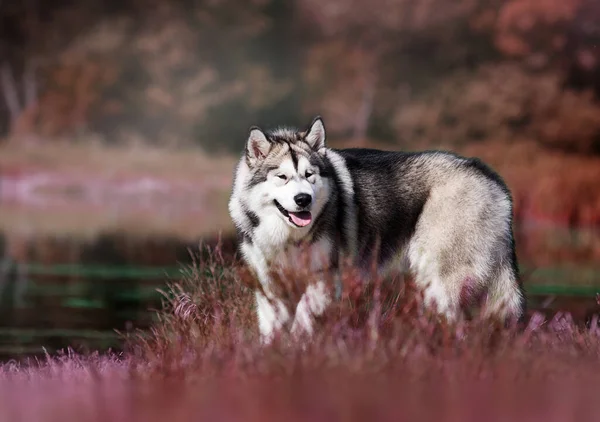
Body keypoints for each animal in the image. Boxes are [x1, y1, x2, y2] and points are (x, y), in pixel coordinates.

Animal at [229, 115, 524, 342]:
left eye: (309, 175)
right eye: (282, 177)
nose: (303, 199)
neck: (288, 239)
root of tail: (491, 177)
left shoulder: (325, 280)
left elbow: (302, 318)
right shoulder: (269, 286)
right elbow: (272, 328)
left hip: (438, 280)